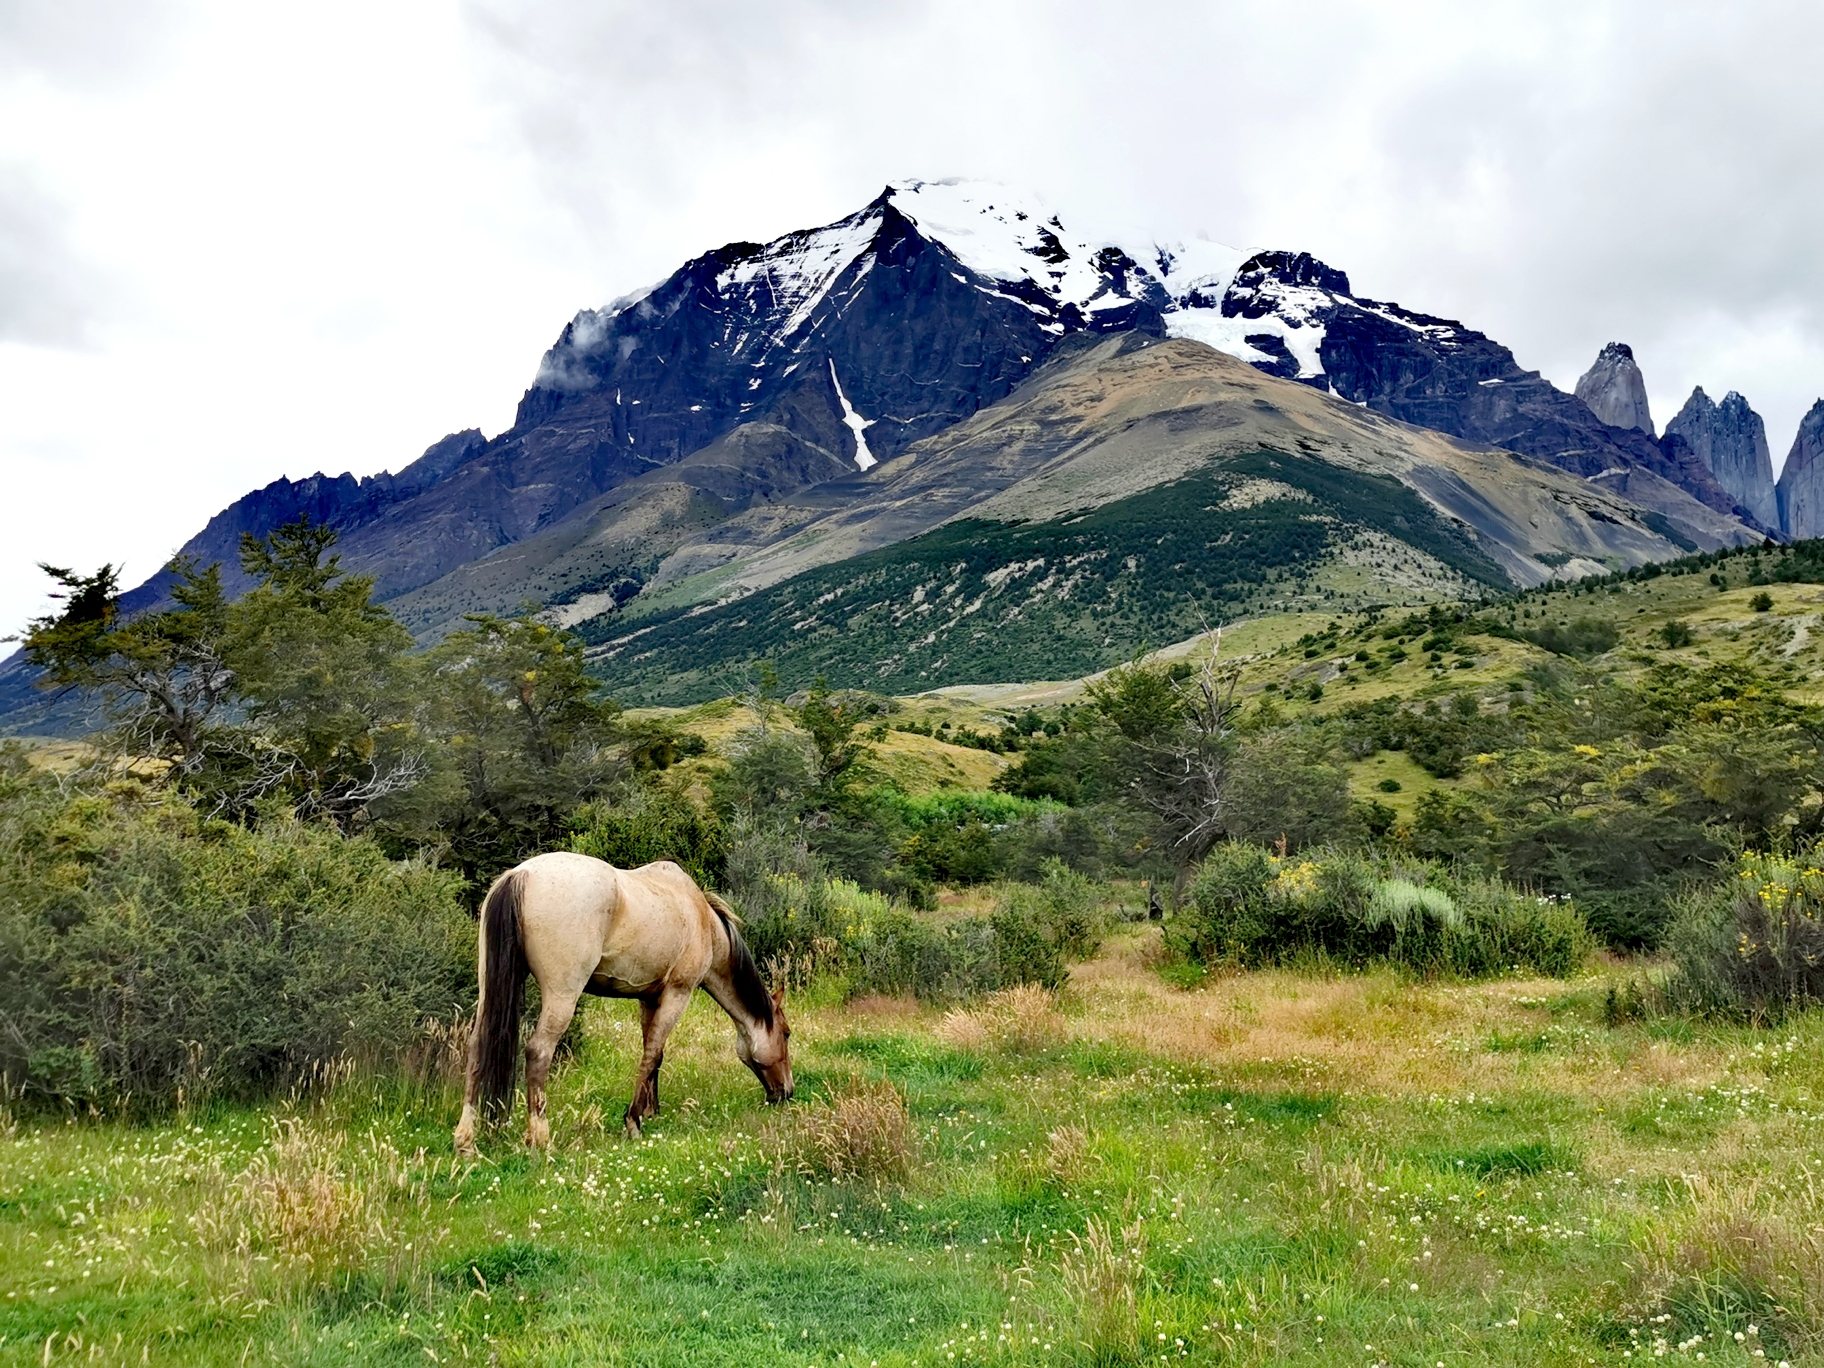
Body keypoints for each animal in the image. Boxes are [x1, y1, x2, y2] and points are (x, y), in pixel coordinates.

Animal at [450, 846, 791, 1160]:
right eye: (786, 1034)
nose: (786, 1093)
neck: (701, 919)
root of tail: (521, 875)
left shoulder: (649, 999)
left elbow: (654, 1054)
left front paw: (650, 1110)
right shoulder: (678, 994)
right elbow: (652, 1054)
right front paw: (633, 1120)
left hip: (489, 990)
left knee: (477, 1047)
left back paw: (466, 1142)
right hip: (562, 997)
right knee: (538, 1053)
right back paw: (540, 1138)